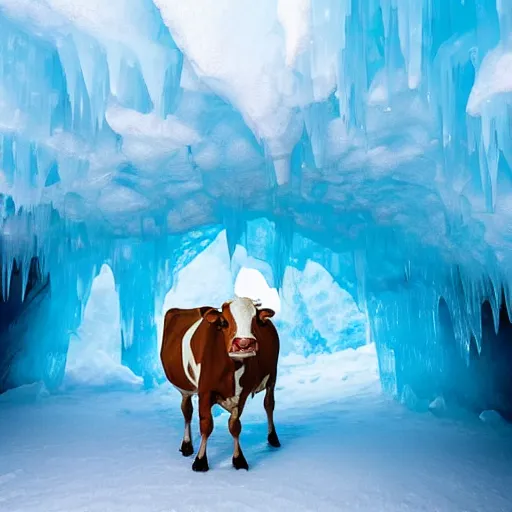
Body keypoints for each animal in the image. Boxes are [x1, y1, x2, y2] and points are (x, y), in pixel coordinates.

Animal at [160, 296, 280, 472]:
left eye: (255, 321)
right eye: (224, 322)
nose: (244, 343)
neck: (231, 370)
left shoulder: (242, 393)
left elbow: (234, 426)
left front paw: (239, 459)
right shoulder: (205, 391)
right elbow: (206, 424)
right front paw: (200, 460)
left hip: (273, 376)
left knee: (269, 404)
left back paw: (273, 438)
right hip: (185, 390)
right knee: (187, 411)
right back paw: (187, 444)